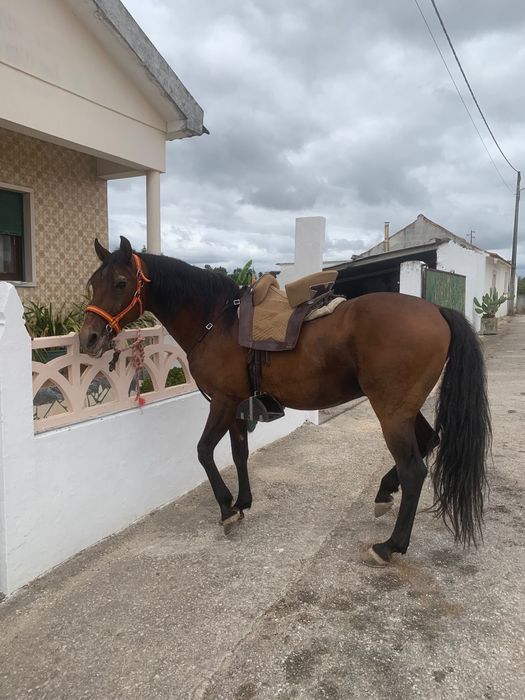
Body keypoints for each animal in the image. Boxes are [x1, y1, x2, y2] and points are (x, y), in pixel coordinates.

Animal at [79, 236, 491, 567]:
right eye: (92, 284)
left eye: (121, 283)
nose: (88, 338)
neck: (216, 321)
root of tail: (437, 310)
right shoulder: (237, 404)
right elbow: (239, 453)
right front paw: (243, 502)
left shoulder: (222, 402)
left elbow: (204, 452)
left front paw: (226, 509)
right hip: (404, 409)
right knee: (428, 442)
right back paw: (384, 493)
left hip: (391, 411)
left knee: (413, 469)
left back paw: (390, 546)